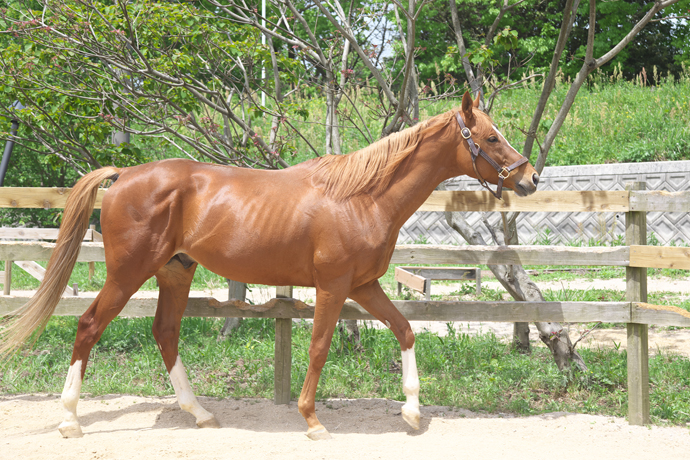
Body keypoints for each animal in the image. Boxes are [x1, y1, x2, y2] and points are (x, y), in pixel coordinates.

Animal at [0, 91, 539, 440]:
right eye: (492, 138)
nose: (531, 177)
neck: (361, 197)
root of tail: (125, 174)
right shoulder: (334, 286)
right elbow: (319, 348)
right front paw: (313, 421)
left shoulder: (363, 285)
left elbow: (405, 331)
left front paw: (411, 412)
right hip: (128, 273)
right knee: (89, 326)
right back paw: (70, 421)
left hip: (175, 271)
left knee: (165, 332)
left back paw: (200, 413)